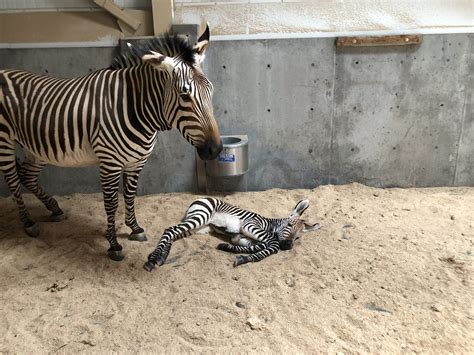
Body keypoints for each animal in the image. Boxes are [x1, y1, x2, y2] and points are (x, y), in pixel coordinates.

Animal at [0, 26, 222, 262]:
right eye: (184, 96)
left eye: (211, 91)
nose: (215, 150)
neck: (136, 109)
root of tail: (3, 71)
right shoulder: (109, 163)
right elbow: (111, 202)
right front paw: (114, 244)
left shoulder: (137, 161)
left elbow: (131, 194)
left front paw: (135, 228)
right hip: (4, 140)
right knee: (13, 181)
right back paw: (28, 223)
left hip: (36, 147)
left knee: (27, 176)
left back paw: (54, 208)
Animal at [143, 197, 320, 272]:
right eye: (289, 225)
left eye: (297, 238)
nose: (288, 246)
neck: (269, 225)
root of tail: (200, 198)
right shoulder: (250, 226)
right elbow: (272, 245)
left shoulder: (240, 237)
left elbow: (258, 247)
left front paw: (232, 251)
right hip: (201, 217)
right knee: (169, 230)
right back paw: (153, 259)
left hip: (200, 227)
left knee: (173, 233)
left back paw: (160, 258)